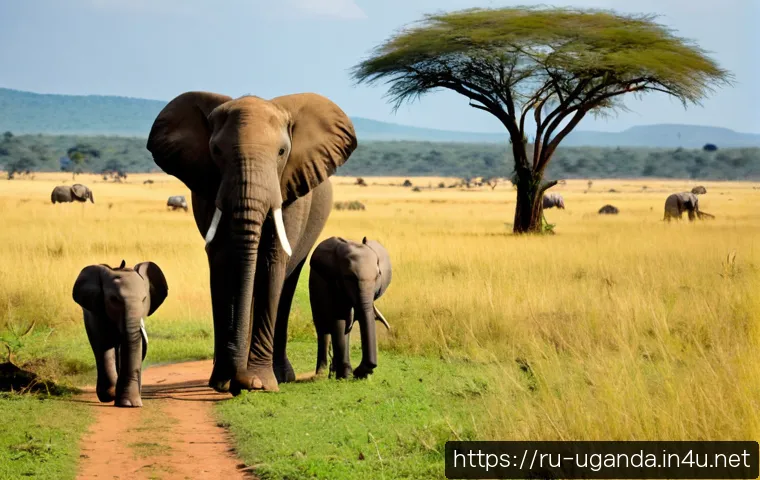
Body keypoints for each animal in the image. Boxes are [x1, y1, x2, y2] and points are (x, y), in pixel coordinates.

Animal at [72, 260, 168, 407]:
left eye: (144, 299)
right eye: (114, 299)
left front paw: (129, 404)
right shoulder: (97, 312)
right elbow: (103, 343)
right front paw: (112, 396)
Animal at [147, 91, 357, 394]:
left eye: (282, 152)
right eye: (216, 152)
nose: (238, 381)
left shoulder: (289, 188)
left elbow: (272, 261)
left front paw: (258, 382)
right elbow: (222, 261)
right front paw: (223, 381)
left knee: (287, 283)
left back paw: (280, 375)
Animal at [309, 236, 392, 380]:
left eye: (378, 277)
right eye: (348, 277)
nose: (359, 371)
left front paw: (358, 374)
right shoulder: (334, 285)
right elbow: (339, 321)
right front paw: (347, 375)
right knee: (322, 329)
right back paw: (322, 373)